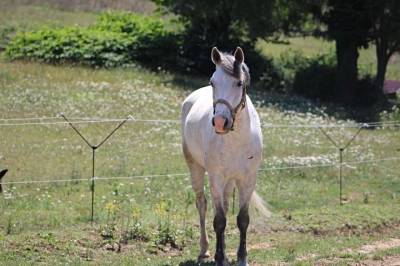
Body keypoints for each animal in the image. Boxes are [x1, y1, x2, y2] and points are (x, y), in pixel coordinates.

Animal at [183, 46, 268, 264]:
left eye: (238, 83)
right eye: (213, 82)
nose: (221, 122)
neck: (236, 140)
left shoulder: (248, 179)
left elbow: (242, 219)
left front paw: (241, 257)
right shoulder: (216, 178)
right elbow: (219, 220)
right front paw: (219, 257)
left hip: (230, 181)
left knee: (225, 205)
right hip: (196, 168)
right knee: (202, 205)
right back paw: (204, 250)